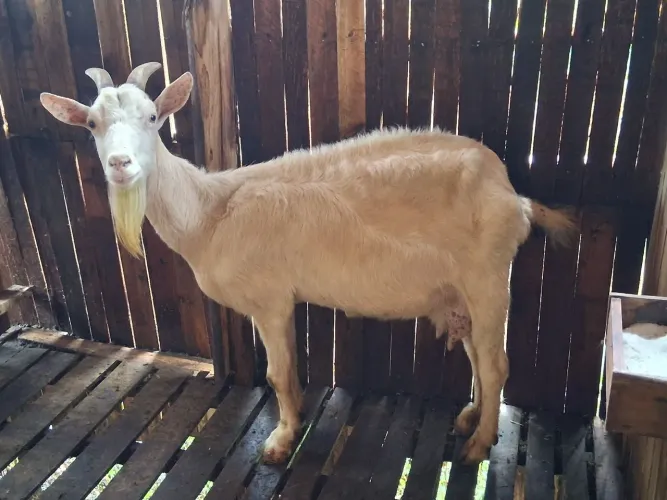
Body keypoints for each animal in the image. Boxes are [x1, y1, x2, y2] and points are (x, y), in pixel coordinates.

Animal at [40, 62, 577, 465]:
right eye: (91, 124)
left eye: (153, 117)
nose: (121, 165)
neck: (211, 211)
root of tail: (513, 196)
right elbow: (289, 372)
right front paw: (292, 421)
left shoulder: (269, 298)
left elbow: (278, 374)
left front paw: (279, 443)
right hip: (459, 288)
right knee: (477, 356)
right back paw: (470, 417)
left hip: (488, 274)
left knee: (497, 363)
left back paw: (479, 444)